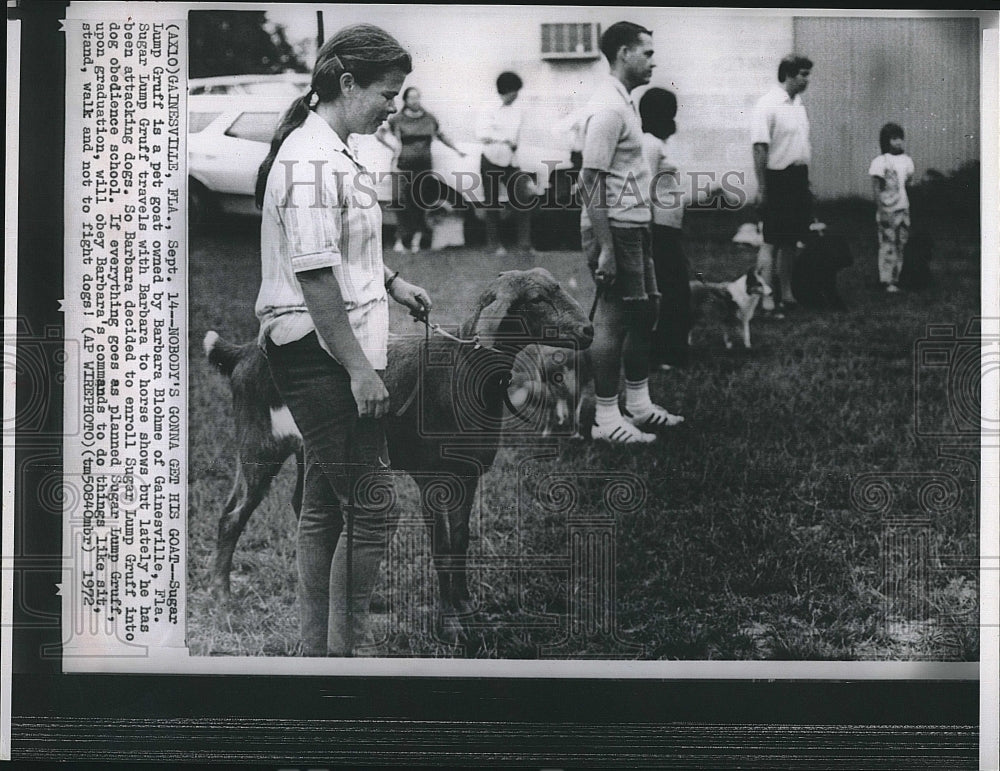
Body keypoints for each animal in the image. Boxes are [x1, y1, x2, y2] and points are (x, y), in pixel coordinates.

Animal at [204, 268, 592, 644]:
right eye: (536, 299)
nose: (588, 330)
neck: (462, 370)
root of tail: (242, 353)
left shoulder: (467, 475)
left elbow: (461, 542)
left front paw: (468, 610)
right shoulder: (433, 477)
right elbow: (442, 547)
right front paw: (452, 624)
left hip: (309, 447)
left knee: (301, 507)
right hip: (259, 445)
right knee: (232, 516)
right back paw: (222, 598)